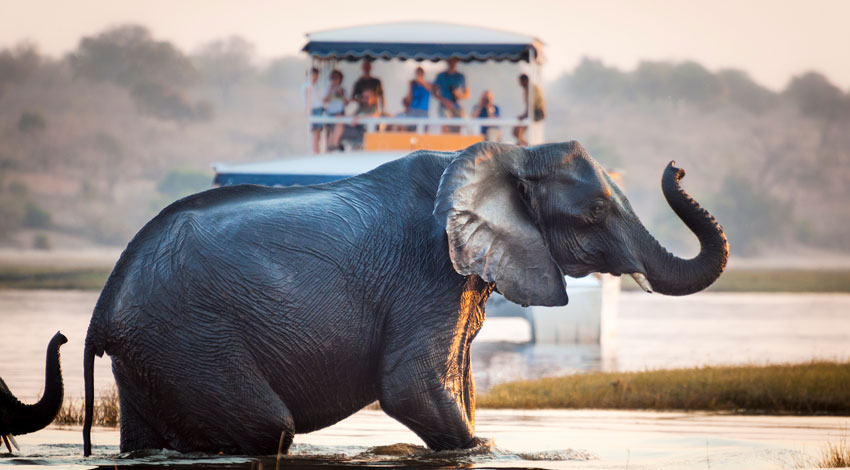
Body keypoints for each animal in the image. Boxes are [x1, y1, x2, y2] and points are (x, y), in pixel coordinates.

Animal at [83, 141, 728, 456]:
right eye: (594, 211)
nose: (677, 166)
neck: (503, 156)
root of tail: (103, 310)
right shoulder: (427, 272)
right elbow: (410, 385)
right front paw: (481, 448)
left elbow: (457, 385)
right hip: (190, 337)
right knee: (269, 427)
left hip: (155, 353)